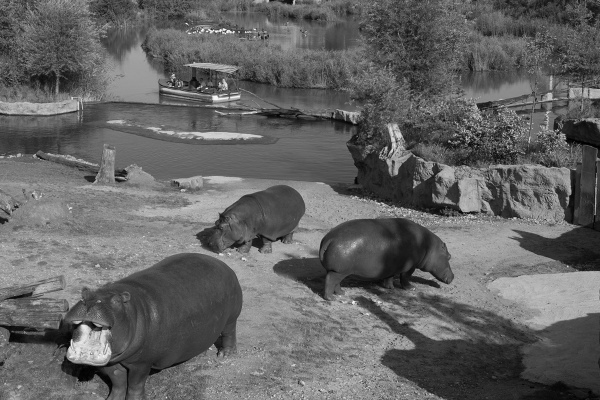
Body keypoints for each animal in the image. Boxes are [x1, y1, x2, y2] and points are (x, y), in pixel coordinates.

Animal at [62, 253, 244, 400]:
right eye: (84, 293)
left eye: (117, 301)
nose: (90, 302)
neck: (133, 309)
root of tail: (223, 264)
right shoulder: (111, 364)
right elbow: (118, 382)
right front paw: (112, 399)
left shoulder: (142, 363)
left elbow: (135, 385)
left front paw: (136, 399)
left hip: (232, 317)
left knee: (229, 333)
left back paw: (225, 355)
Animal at [318, 219, 454, 300]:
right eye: (449, 257)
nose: (453, 277)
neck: (428, 245)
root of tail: (329, 239)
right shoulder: (410, 266)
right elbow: (405, 277)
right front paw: (411, 288)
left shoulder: (392, 266)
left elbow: (389, 277)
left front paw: (389, 288)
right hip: (339, 271)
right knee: (330, 281)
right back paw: (331, 298)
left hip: (338, 271)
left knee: (336, 282)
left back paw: (341, 293)